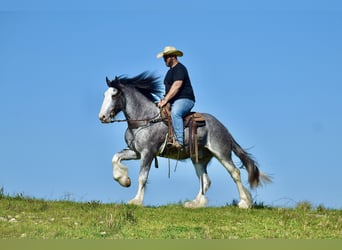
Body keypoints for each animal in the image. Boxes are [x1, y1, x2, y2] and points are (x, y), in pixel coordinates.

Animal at [98, 72, 270, 209]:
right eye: (104, 95)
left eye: (114, 95)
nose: (102, 117)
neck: (145, 120)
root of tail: (223, 128)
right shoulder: (136, 152)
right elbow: (115, 158)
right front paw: (124, 180)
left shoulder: (148, 153)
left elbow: (142, 177)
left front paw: (136, 201)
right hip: (199, 158)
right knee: (205, 180)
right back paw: (195, 203)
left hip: (221, 153)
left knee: (234, 173)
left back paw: (244, 203)